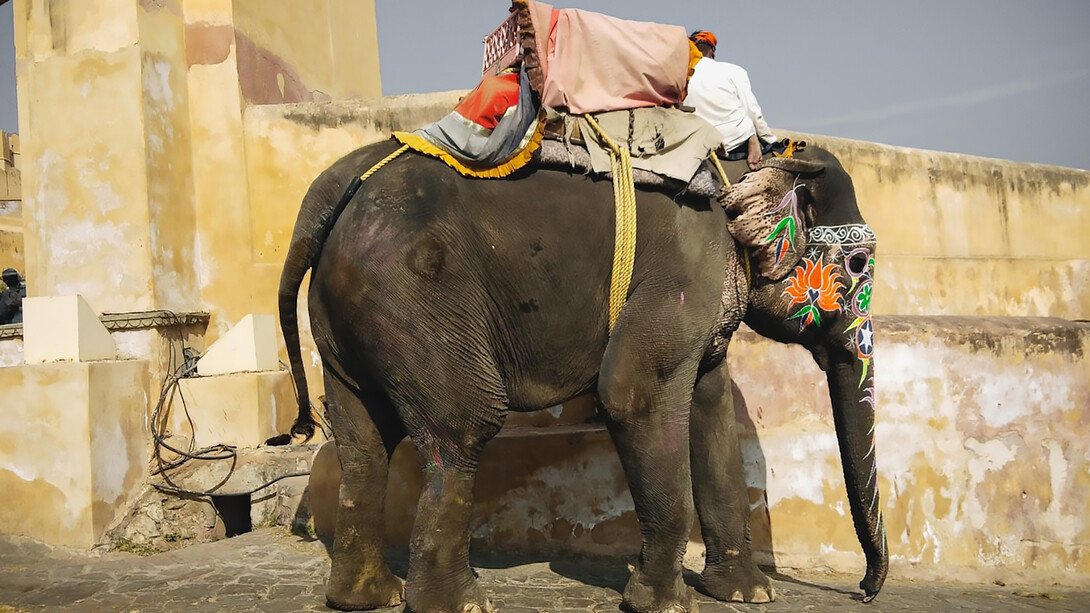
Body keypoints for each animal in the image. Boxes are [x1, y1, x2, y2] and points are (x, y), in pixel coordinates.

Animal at [278, 138, 888, 612]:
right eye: (859, 267)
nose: (863, 591)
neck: (739, 167)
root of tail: (330, 190)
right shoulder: (688, 270)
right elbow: (633, 394)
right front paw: (665, 603)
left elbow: (710, 410)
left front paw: (747, 595)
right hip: (411, 295)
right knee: (464, 427)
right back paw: (459, 603)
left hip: (348, 316)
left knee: (364, 440)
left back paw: (365, 597)